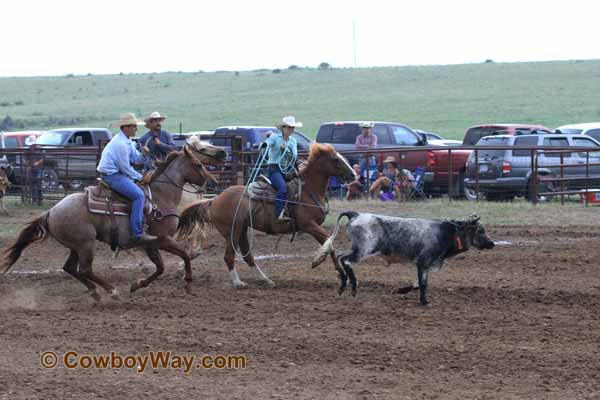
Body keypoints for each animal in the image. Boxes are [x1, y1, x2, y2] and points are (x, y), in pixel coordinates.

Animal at [1, 138, 226, 300]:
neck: (161, 197)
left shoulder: (152, 244)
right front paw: (187, 283)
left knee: (71, 269)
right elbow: (181, 257)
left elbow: (161, 267)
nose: (213, 182)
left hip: (76, 245)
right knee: (84, 269)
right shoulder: (160, 240)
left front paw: (137, 285)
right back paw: (111, 291)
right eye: (198, 164)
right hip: (86, 244)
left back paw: (96, 292)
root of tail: (50, 212)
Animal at [177, 144, 356, 288]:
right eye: (335, 159)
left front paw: (341, 273)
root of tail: (214, 200)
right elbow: (329, 242)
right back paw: (238, 282)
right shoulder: (308, 225)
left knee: (248, 256)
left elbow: (329, 243)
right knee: (229, 256)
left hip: (241, 230)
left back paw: (266, 280)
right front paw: (319, 261)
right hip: (231, 232)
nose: (354, 175)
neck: (307, 190)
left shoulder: (314, 227)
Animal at [312, 212, 494, 304]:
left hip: (357, 247)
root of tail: (356, 215)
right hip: (364, 249)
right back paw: (353, 286)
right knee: (347, 260)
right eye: (480, 230)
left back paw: (343, 284)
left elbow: (417, 283)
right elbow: (423, 283)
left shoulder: (425, 264)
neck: (445, 233)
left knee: (340, 256)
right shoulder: (423, 261)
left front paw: (400, 290)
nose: (492, 244)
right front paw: (424, 301)